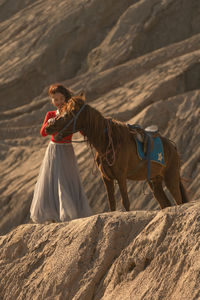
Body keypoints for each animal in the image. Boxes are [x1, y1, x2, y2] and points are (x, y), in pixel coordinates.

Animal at [45, 92, 189, 212]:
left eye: (67, 114)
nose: (48, 127)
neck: (109, 142)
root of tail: (172, 147)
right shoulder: (107, 178)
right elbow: (112, 204)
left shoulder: (121, 176)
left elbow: (125, 202)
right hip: (155, 181)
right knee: (165, 203)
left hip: (171, 178)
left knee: (179, 201)